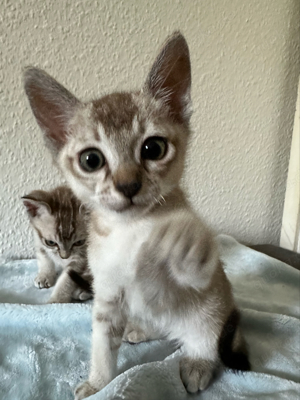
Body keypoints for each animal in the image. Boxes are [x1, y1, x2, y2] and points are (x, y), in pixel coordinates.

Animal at [23, 30, 250, 396]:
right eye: (91, 160)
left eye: (153, 148)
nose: (127, 184)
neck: (128, 231)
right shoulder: (107, 295)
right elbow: (102, 346)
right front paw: (98, 384)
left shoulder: (197, 279)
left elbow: (192, 249)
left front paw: (178, 233)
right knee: (159, 327)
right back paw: (139, 331)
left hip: (211, 307)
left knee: (209, 338)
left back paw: (197, 365)